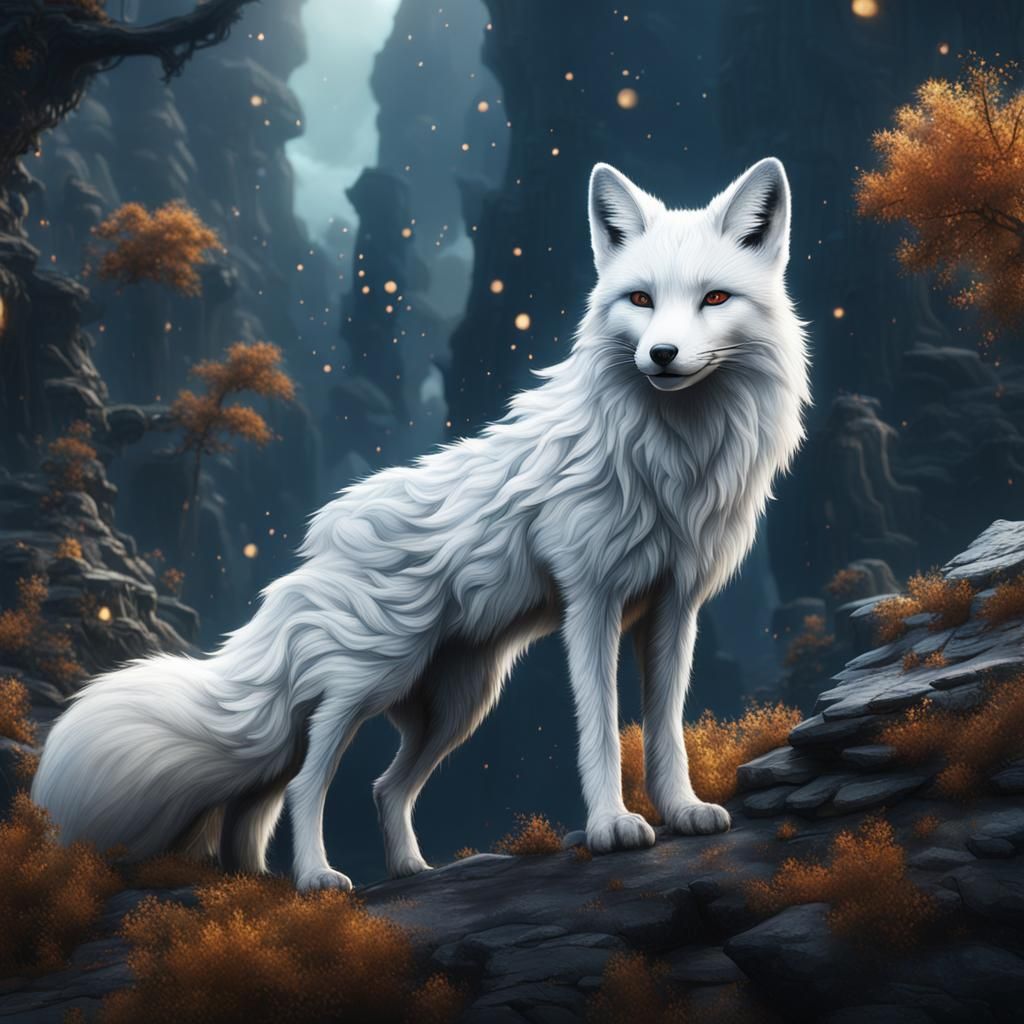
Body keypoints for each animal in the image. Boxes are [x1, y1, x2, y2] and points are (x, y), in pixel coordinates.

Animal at [33, 158, 809, 891]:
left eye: (714, 298)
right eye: (641, 299)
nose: (662, 356)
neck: (672, 455)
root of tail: (315, 542)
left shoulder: (675, 606)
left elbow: (665, 727)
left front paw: (682, 811)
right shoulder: (591, 601)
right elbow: (600, 730)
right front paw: (612, 827)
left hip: (457, 704)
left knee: (363, 787)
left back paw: (377, 874)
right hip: (367, 682)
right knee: (307, 782)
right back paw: (314, 881)